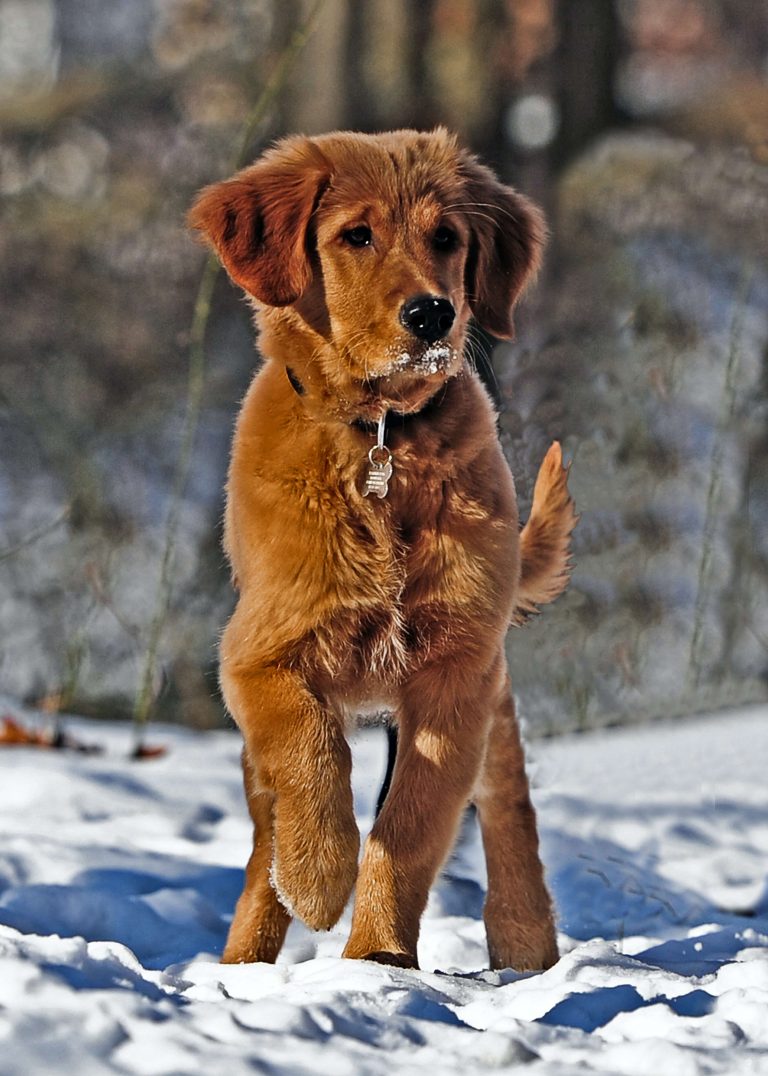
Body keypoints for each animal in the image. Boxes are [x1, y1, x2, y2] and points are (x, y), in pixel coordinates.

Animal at [190, 130, 576, 972]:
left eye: (448, 238)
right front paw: (317, 877)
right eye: (356, 235)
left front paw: (378, 959)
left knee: (508, 807)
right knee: (263, 837)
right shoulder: (258, 654)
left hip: (493, 697)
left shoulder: (458, 670)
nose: (433, 313)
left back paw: (526, 947)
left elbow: (410, 828)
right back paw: (247, 951)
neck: (382, 440)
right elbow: (311, 753)